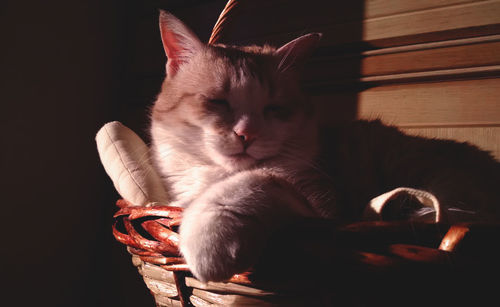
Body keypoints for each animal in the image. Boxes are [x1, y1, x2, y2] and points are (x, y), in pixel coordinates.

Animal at [148, 11, 500, 284]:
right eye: (217, 102)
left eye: (274, 108)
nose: (247, 133)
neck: (213, 175)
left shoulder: (321, 208)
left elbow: (254, 181)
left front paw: (210, 238)